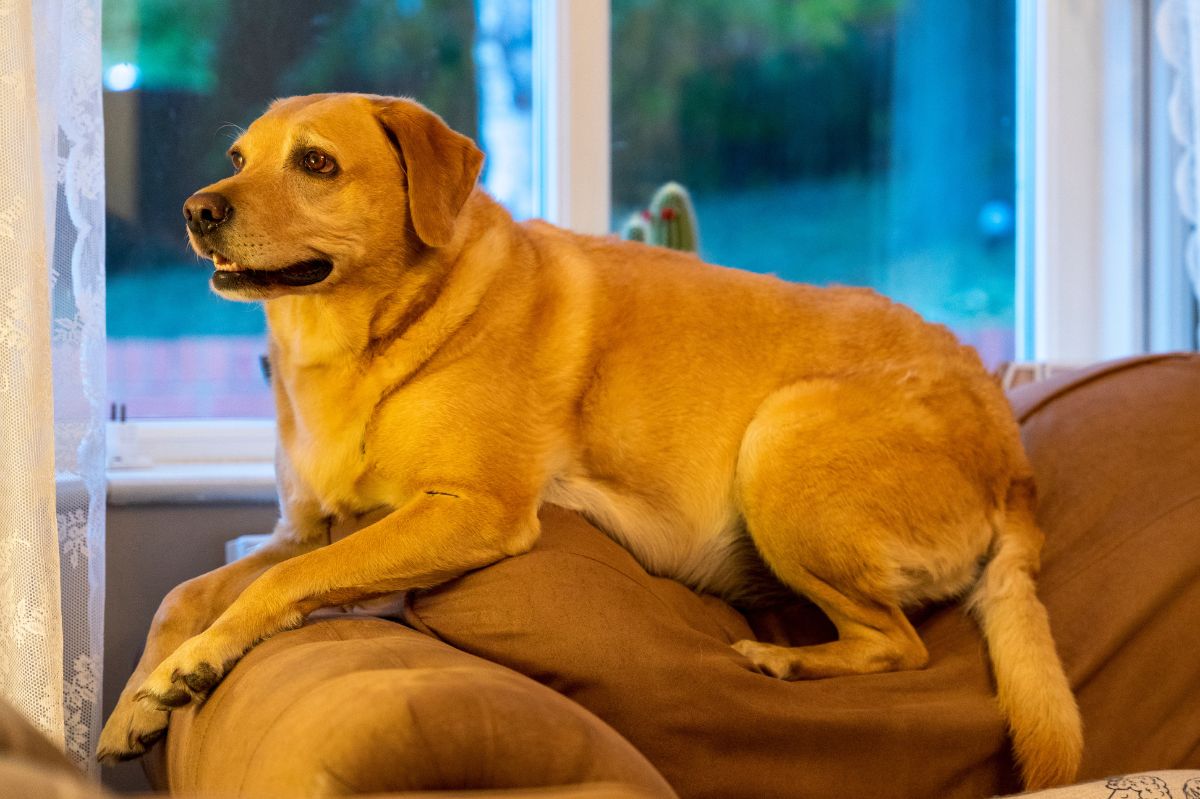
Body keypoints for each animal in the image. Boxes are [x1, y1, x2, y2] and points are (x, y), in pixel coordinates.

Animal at [98, 91, 1084, 782]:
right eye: (237, 157)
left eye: (315, 162)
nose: (195, 209)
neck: (364, 341)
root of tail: (1016, 463)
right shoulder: (310, 527)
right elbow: (186, 592)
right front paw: (135, 702)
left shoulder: (467, 512)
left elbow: (277, 586)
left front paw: (195, 662)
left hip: (781, 443)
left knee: (900, 645)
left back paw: (786, 658)